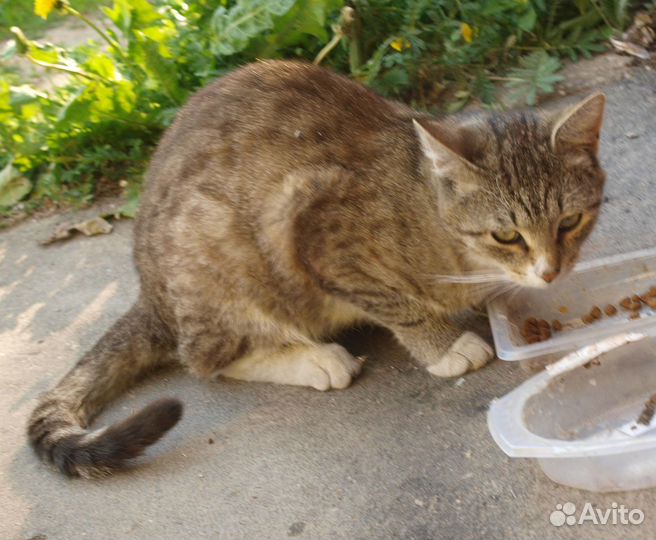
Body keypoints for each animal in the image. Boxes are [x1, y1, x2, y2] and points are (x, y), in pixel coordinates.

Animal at [28, 60, 608, 476]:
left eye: (570, 221)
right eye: (506, 234)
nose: (551, 271)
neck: (429, 212)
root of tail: (149, 293)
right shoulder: (314, 232)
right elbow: (395, 302)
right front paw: (443, 344)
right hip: (218, 246)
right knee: (205, 355)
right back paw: (313, 358)